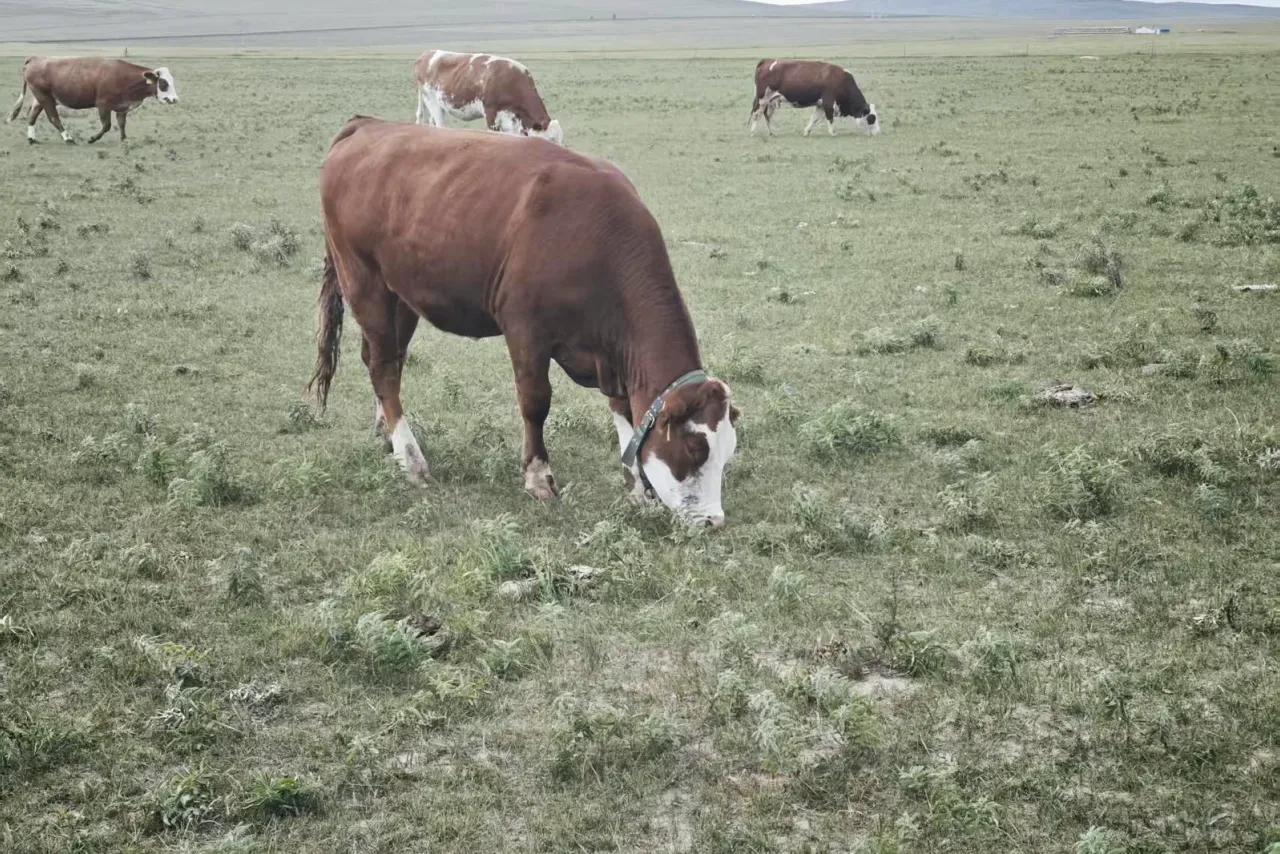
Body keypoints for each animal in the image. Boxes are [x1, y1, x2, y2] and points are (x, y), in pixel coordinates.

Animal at [8, 56, 178, 144]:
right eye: (164, 83)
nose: (174, 99)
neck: (125, 77)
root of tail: (36, 59)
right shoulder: (103, 105)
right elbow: (107, 125)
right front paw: (92, 139)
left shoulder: (122, 107)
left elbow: (122, 124)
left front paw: (124, 140)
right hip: (45, 98)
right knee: (54, 118)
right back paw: (68, 138)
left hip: (42, 99)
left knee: (32, 116)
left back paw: (31, 138)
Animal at [311, 117, 740, 526]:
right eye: (695, 449)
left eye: (728, 452)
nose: (713, 522)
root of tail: (368, 124)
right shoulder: (525, 330)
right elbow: (536, 403)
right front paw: (538, 478)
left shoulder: (612, 354)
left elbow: (624, 409)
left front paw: (636, 486)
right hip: (364, 281)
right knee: (383, 366)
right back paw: (411, 458)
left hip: (400, 294)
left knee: (384, 359)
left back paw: (386, 434)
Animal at [413, 50, 562, 145]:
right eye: (551, 139)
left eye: (562, 140)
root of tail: (426, 54)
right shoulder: (491, 112)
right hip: (432, 102)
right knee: (439, 125)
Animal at [748, 59, 878, 138]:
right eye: (871, 118)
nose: (878, 132)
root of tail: (767, 61)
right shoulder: (828, 103)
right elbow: (830, 119)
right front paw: (833, 133)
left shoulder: (820, 105)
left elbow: (814, 118)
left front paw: (806, 131)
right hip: (762, 100)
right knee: (757, 114)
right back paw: (753, 133)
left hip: (771, 102)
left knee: (767, 116)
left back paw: (772, 133)